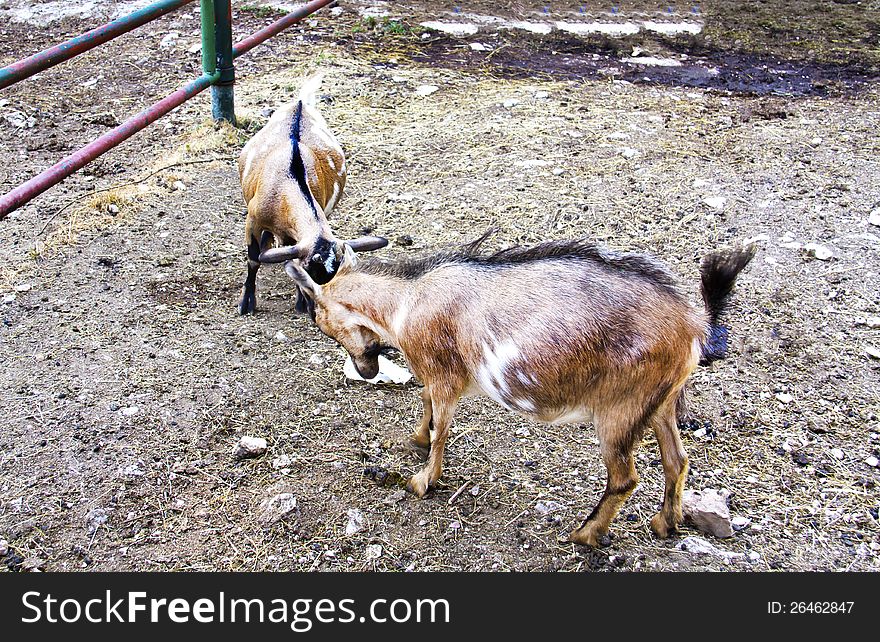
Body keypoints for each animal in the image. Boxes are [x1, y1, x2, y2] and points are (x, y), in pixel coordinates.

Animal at [286, 235, 752, 544]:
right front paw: (413, 440)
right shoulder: (440, 378)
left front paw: (422, 481)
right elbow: (425, 404)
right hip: (661, 402)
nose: (365, 370)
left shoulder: (444, 374)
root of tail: (694, 325)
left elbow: (441, 428)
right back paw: (664, 523)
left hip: (621, 407)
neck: (406, 302)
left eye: (319, 320)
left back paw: (584, 534)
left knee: (625, 477)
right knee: (677, 460)